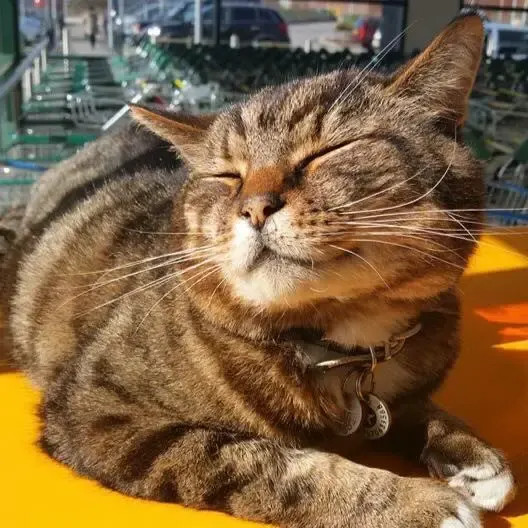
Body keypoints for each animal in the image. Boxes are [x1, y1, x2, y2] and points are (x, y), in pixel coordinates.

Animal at [4, 11, 516, 528]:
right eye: (228, 175)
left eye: (327, 152)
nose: (254, 208)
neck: (346, 343)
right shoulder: (98, 410)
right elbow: (276, 465)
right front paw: (411, 502)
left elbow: (407, 406)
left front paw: (468, 450)